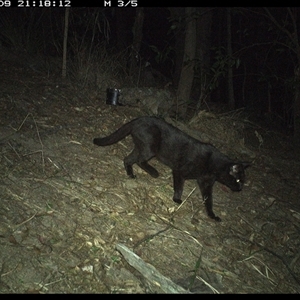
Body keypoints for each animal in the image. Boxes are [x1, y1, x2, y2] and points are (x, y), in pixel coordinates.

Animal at [92, 116, 250, 221]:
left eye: (242, 181)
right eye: (237, 180)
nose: (241, 188)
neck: (213, 166)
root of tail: (137, 119)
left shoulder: (206, 184)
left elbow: (208, 201)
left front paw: (212, 215)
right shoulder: (179, 172)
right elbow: (179, 187)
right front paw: (177, 200)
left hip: (141, 147)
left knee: (128, 159)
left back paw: (131, 175)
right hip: (150, 148)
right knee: (140, 161)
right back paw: (154, 172)